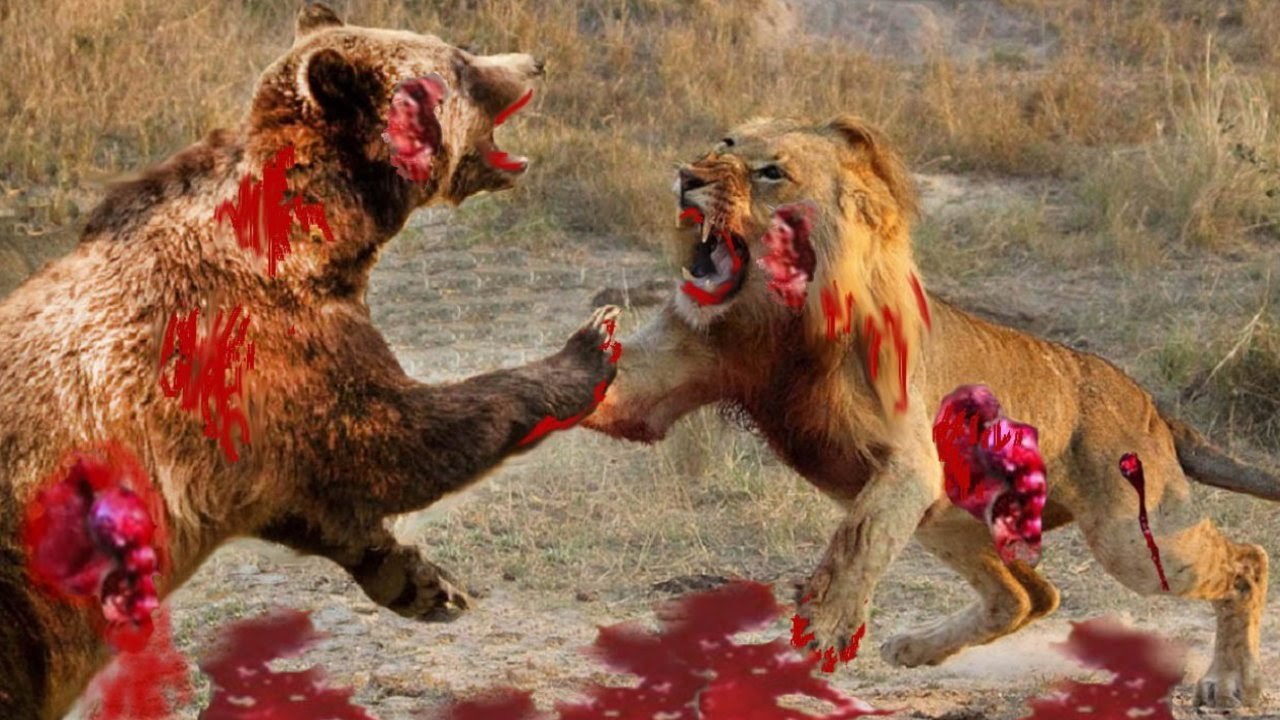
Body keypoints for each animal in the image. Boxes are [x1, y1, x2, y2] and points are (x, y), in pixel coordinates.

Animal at [0, 5, 618, 718]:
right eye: (461, 63)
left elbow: (323, 502)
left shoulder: (249, 448)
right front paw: (589, 345)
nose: (532, 62)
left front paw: (424, 582)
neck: (318, 233)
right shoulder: (258, 347)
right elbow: (399, 436)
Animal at [583, 115, 1279, 708]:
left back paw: (1228, 682)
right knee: (1027, 596)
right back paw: (915, 648)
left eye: (771, 172)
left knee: (1246, 561)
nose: (687, 176)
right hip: (947, 519)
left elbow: (856, 541)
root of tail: (1153, 407)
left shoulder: (909, 463)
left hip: (1131, 537)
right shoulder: (669, 375)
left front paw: (824, 626)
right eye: (722, 143)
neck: (777, 321)